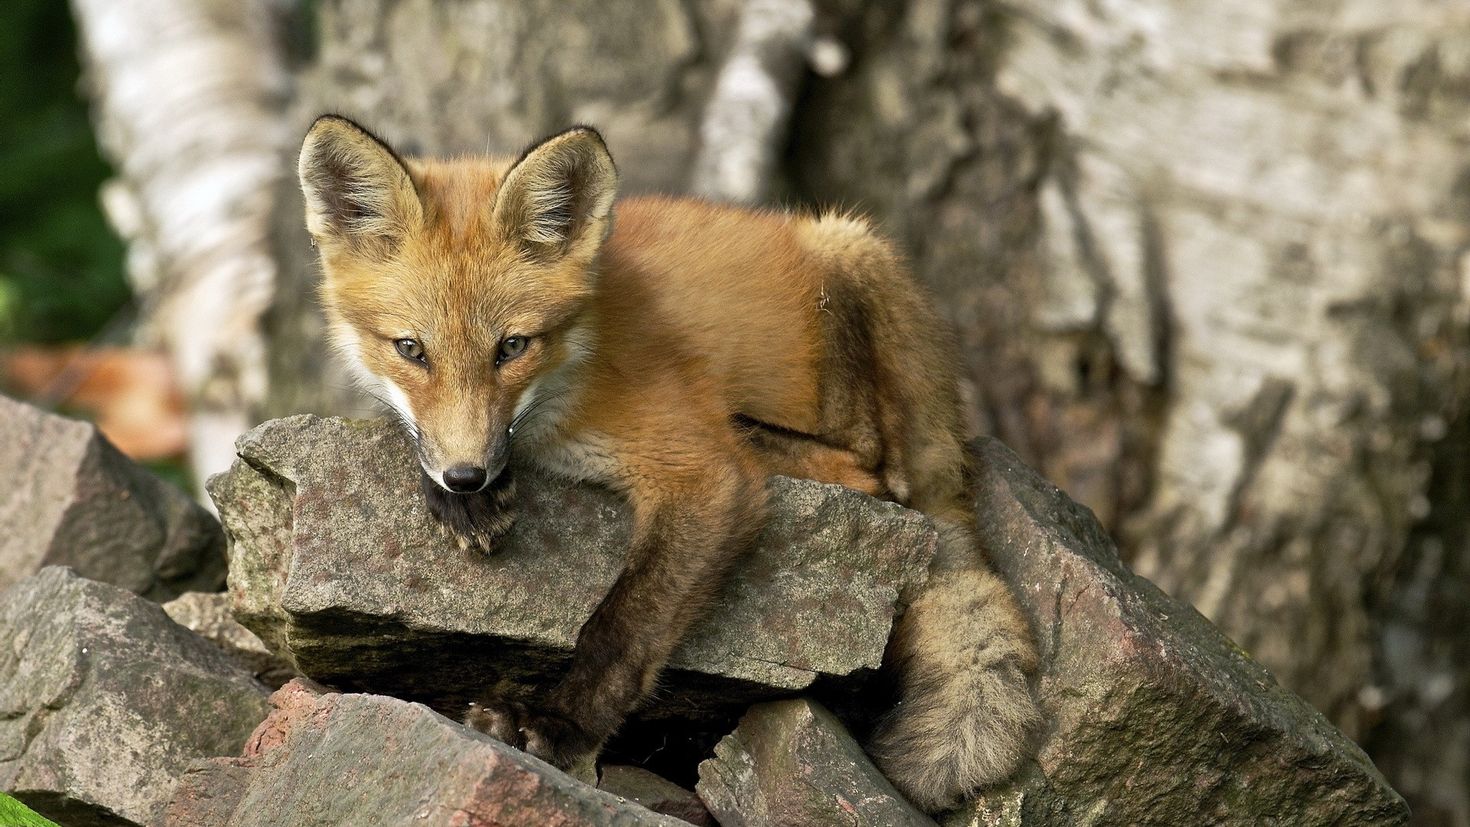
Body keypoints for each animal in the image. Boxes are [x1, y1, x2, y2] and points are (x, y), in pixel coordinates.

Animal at [295, 113, 1034, 810]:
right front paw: (464, 497)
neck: (573, 372)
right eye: (410, 349)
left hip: (847, 256)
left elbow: (622, 626)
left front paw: (561, 725)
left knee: (873, 468)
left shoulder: (702, 476)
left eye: (512, 347)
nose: (467, 475)